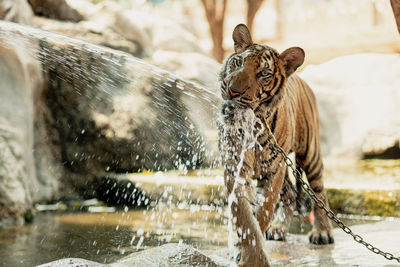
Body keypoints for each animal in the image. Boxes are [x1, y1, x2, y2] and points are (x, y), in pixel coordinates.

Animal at [217, 24, 332, 266]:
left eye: (264, 74)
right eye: (238, 63)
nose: (233, 90)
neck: (252, 124)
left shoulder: (273, 172)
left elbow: (263, 213)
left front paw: (251, 254)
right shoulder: (235, 168)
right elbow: (242, 214)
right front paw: (244, 248)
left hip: (310, 155)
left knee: (319, 193)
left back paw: (322, 233)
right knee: (289, 195)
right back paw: (278, 229)